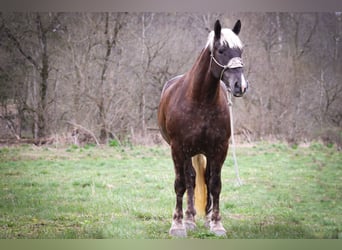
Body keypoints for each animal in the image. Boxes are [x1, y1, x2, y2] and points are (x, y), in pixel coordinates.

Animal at [158, 19, 248, 236]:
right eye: (221, 50)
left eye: (240, 50)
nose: (240, 86)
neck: (200, 100)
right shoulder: (178, 149)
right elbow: (181, 184)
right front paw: (177, 224)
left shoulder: (219, 149)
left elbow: (215, 184)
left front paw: (216, 223)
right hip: (187, 152)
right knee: (190, 179)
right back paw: (189, 218)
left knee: (205, 178)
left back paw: (204, 218)